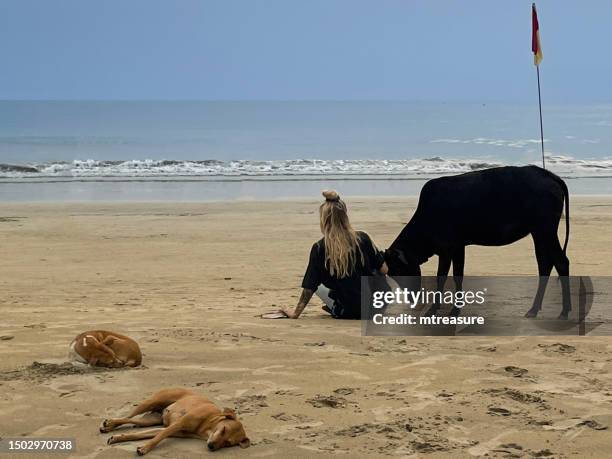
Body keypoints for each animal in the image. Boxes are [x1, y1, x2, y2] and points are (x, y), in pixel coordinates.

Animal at [101, 388, 250, 456]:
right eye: (223, 429)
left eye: (227, 443)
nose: (211, 446)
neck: (208, 424)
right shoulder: (177, 425)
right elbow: (158, 438)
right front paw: (145, 448)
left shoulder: (169, 429)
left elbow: (142, 435)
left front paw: (119, 438)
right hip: (149, 403)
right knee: (128, 415)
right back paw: (110, 424)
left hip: (149, 420)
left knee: (132, 420)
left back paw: (111, 427)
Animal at [384, 165, 572, 320]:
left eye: (400, 270)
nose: (411, 299)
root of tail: (550, 175)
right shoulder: (455, 248)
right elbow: (452, 276)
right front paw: (450, 309)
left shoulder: (449, 248)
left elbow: (445, 277)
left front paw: (441, 310)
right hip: (539, 233)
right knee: (545, 264)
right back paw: (534, 309)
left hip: (545, 230)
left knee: (561, 262)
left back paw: (564, 311)